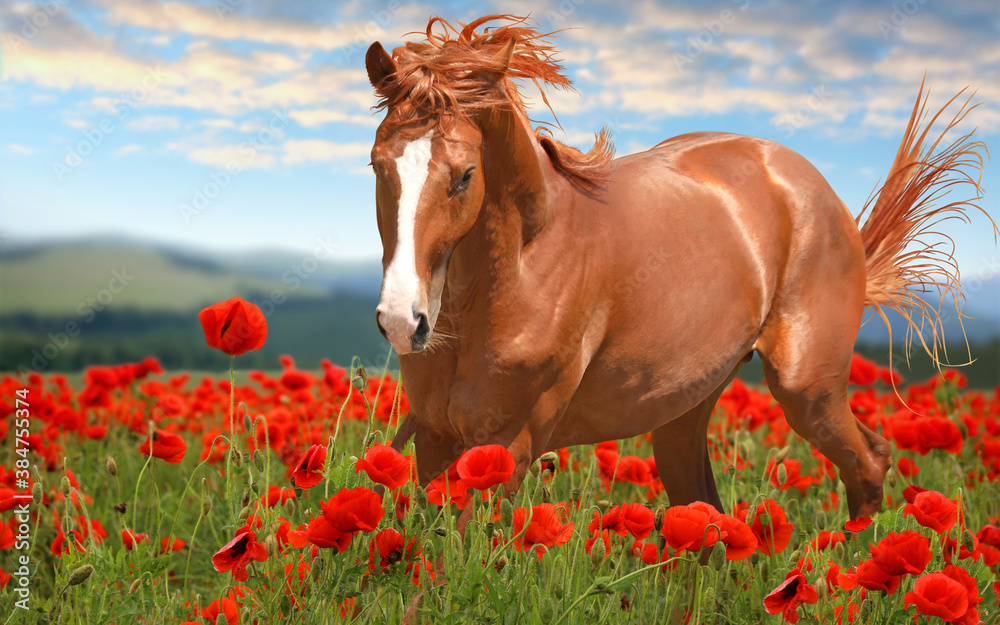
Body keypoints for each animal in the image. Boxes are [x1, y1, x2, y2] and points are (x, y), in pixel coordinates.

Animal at [364, 15, 991, 527]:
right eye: (377, 165)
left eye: (465, 175)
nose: (402, 321)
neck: (521, 270)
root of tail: (809, 183)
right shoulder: (435, 440)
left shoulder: (506, 447)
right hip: (685, 410)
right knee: (708, 521)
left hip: (808, 390)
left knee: (870, 464)